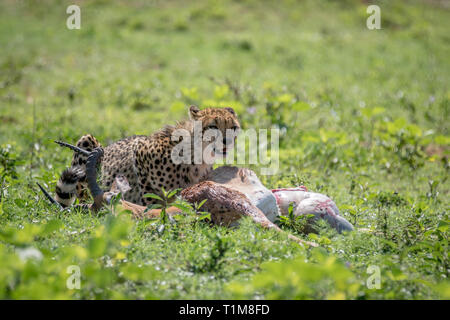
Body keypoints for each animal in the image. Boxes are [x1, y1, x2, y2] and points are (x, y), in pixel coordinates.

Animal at [55, 106, 243, 208]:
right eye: (213, 126)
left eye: (233, 127)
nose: (227, 141)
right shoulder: (139, 151)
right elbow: (151, 197)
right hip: (86, 141)